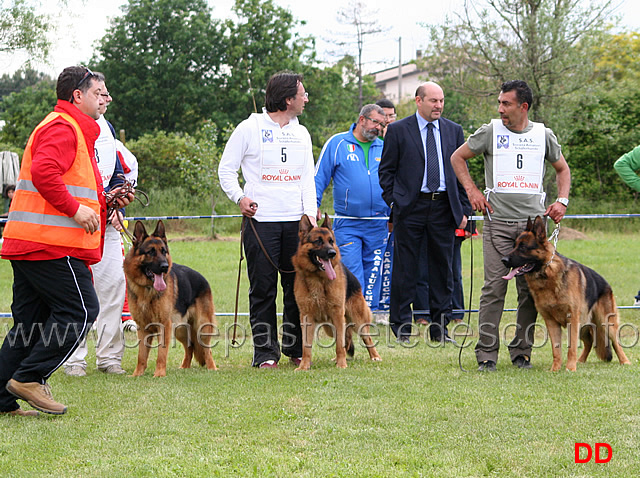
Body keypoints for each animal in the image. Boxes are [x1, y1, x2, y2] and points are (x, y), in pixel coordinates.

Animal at [124, 221, 219, 378]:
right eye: (150, 252)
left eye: (164, 251)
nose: (165, 266)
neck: (147, 289)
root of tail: (203, 279)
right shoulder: (142, 328)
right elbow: (141, 355)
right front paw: (137, 374)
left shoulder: (164, 326)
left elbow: (161, 354)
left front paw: (159, 374)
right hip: (180, 329)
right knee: (190, 346)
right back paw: (185, 367)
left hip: (201, 326)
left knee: (207, 350)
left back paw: (212, 368)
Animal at [292, 215, 382, 372]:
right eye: (318, 241)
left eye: (331, 241)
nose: (332, 253)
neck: (317, 278)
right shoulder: (306, 317)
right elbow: (306, 346)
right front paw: (304, 366)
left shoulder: (338, 314)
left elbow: (340, 344)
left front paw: (342, 365)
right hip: (330, 327)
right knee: (347, 339)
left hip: (357, 320)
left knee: (366, 338)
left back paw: (375, 356)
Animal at [500, 215, 632, 372]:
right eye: (514, 246)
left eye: (523, 247)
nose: (503, 260)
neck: (547, 274)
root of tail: (606, 283)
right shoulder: (551, 321)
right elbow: (556, 349)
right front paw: (555, 369)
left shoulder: (572, 319)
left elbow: (571, 347)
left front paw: (570, 369)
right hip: (584, 324)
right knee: (589, 341)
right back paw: (581, 361)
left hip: (605, 322)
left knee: (616, 343)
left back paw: (625, 361)